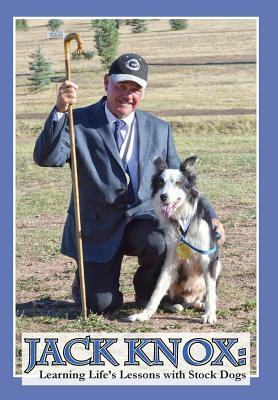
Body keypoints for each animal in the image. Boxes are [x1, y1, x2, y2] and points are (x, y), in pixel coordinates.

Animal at [128, 156, 222, 324]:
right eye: (161, 183)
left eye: (178, 183)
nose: (163, 196)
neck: (182, 219)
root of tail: (188, 298)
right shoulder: (170, 260)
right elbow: (157, 290)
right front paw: (145, 314)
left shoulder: (209, 258)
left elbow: (211, 291)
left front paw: (210, 314)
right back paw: (173, 306)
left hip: (218, 266)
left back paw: (200, 304)